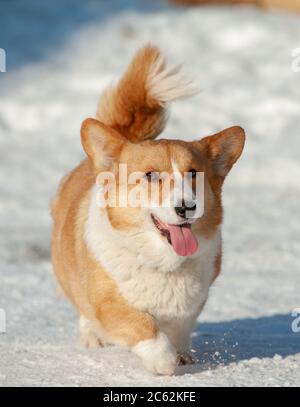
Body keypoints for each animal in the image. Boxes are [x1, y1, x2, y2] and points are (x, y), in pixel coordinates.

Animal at [51, 44, 244, 376]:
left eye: (193, 173)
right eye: (152, 175)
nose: (186, 207)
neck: (163, 263)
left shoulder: (193, 302)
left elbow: (181, 326)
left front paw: (183, 354)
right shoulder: (111, 303)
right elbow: (144, 326)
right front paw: (164, 360)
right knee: (84, 310)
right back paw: (91, 338)